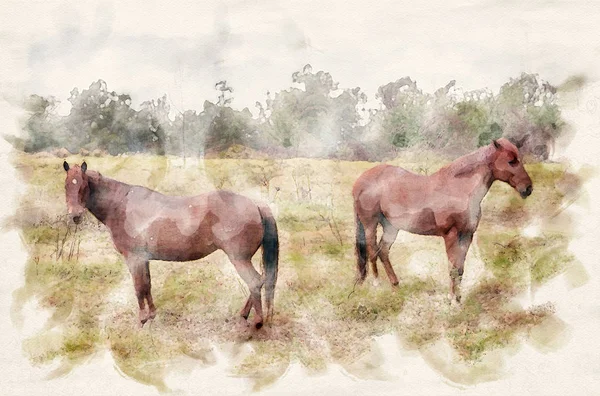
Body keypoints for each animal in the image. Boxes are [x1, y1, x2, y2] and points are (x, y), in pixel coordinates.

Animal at [354, 138, 532, 302]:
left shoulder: (467, 235)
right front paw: (451, 299)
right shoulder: (450, 235)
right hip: (370, 224)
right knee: (372, 251)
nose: (528, 188)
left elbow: (460, 268)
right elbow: (452, 267)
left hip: (391, 227)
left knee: (383, 251)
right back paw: (377, 284)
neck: (458, 190)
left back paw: (396, 285)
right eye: (511, 161)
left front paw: (459, 298)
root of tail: (360, 180)